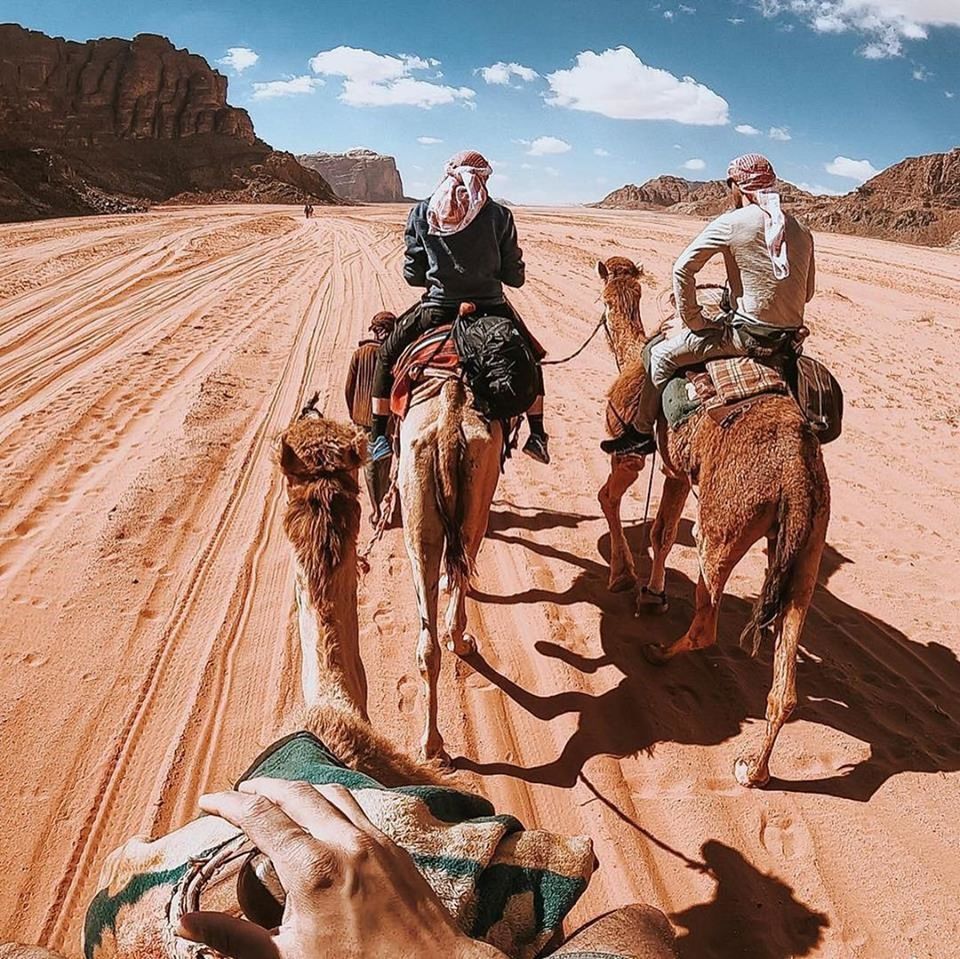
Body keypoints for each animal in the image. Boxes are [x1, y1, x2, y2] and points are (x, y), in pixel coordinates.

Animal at [596, 255, 828, 788]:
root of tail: (797, 477)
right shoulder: (678, 469)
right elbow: (659, 532)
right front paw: (650, 590)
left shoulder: (644, 455)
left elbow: (625, 510)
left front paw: (629, 580)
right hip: (808, 544)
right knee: (785, 682)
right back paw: (754, 770)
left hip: (721, 526)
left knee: (707, 620)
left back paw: (658, 653)